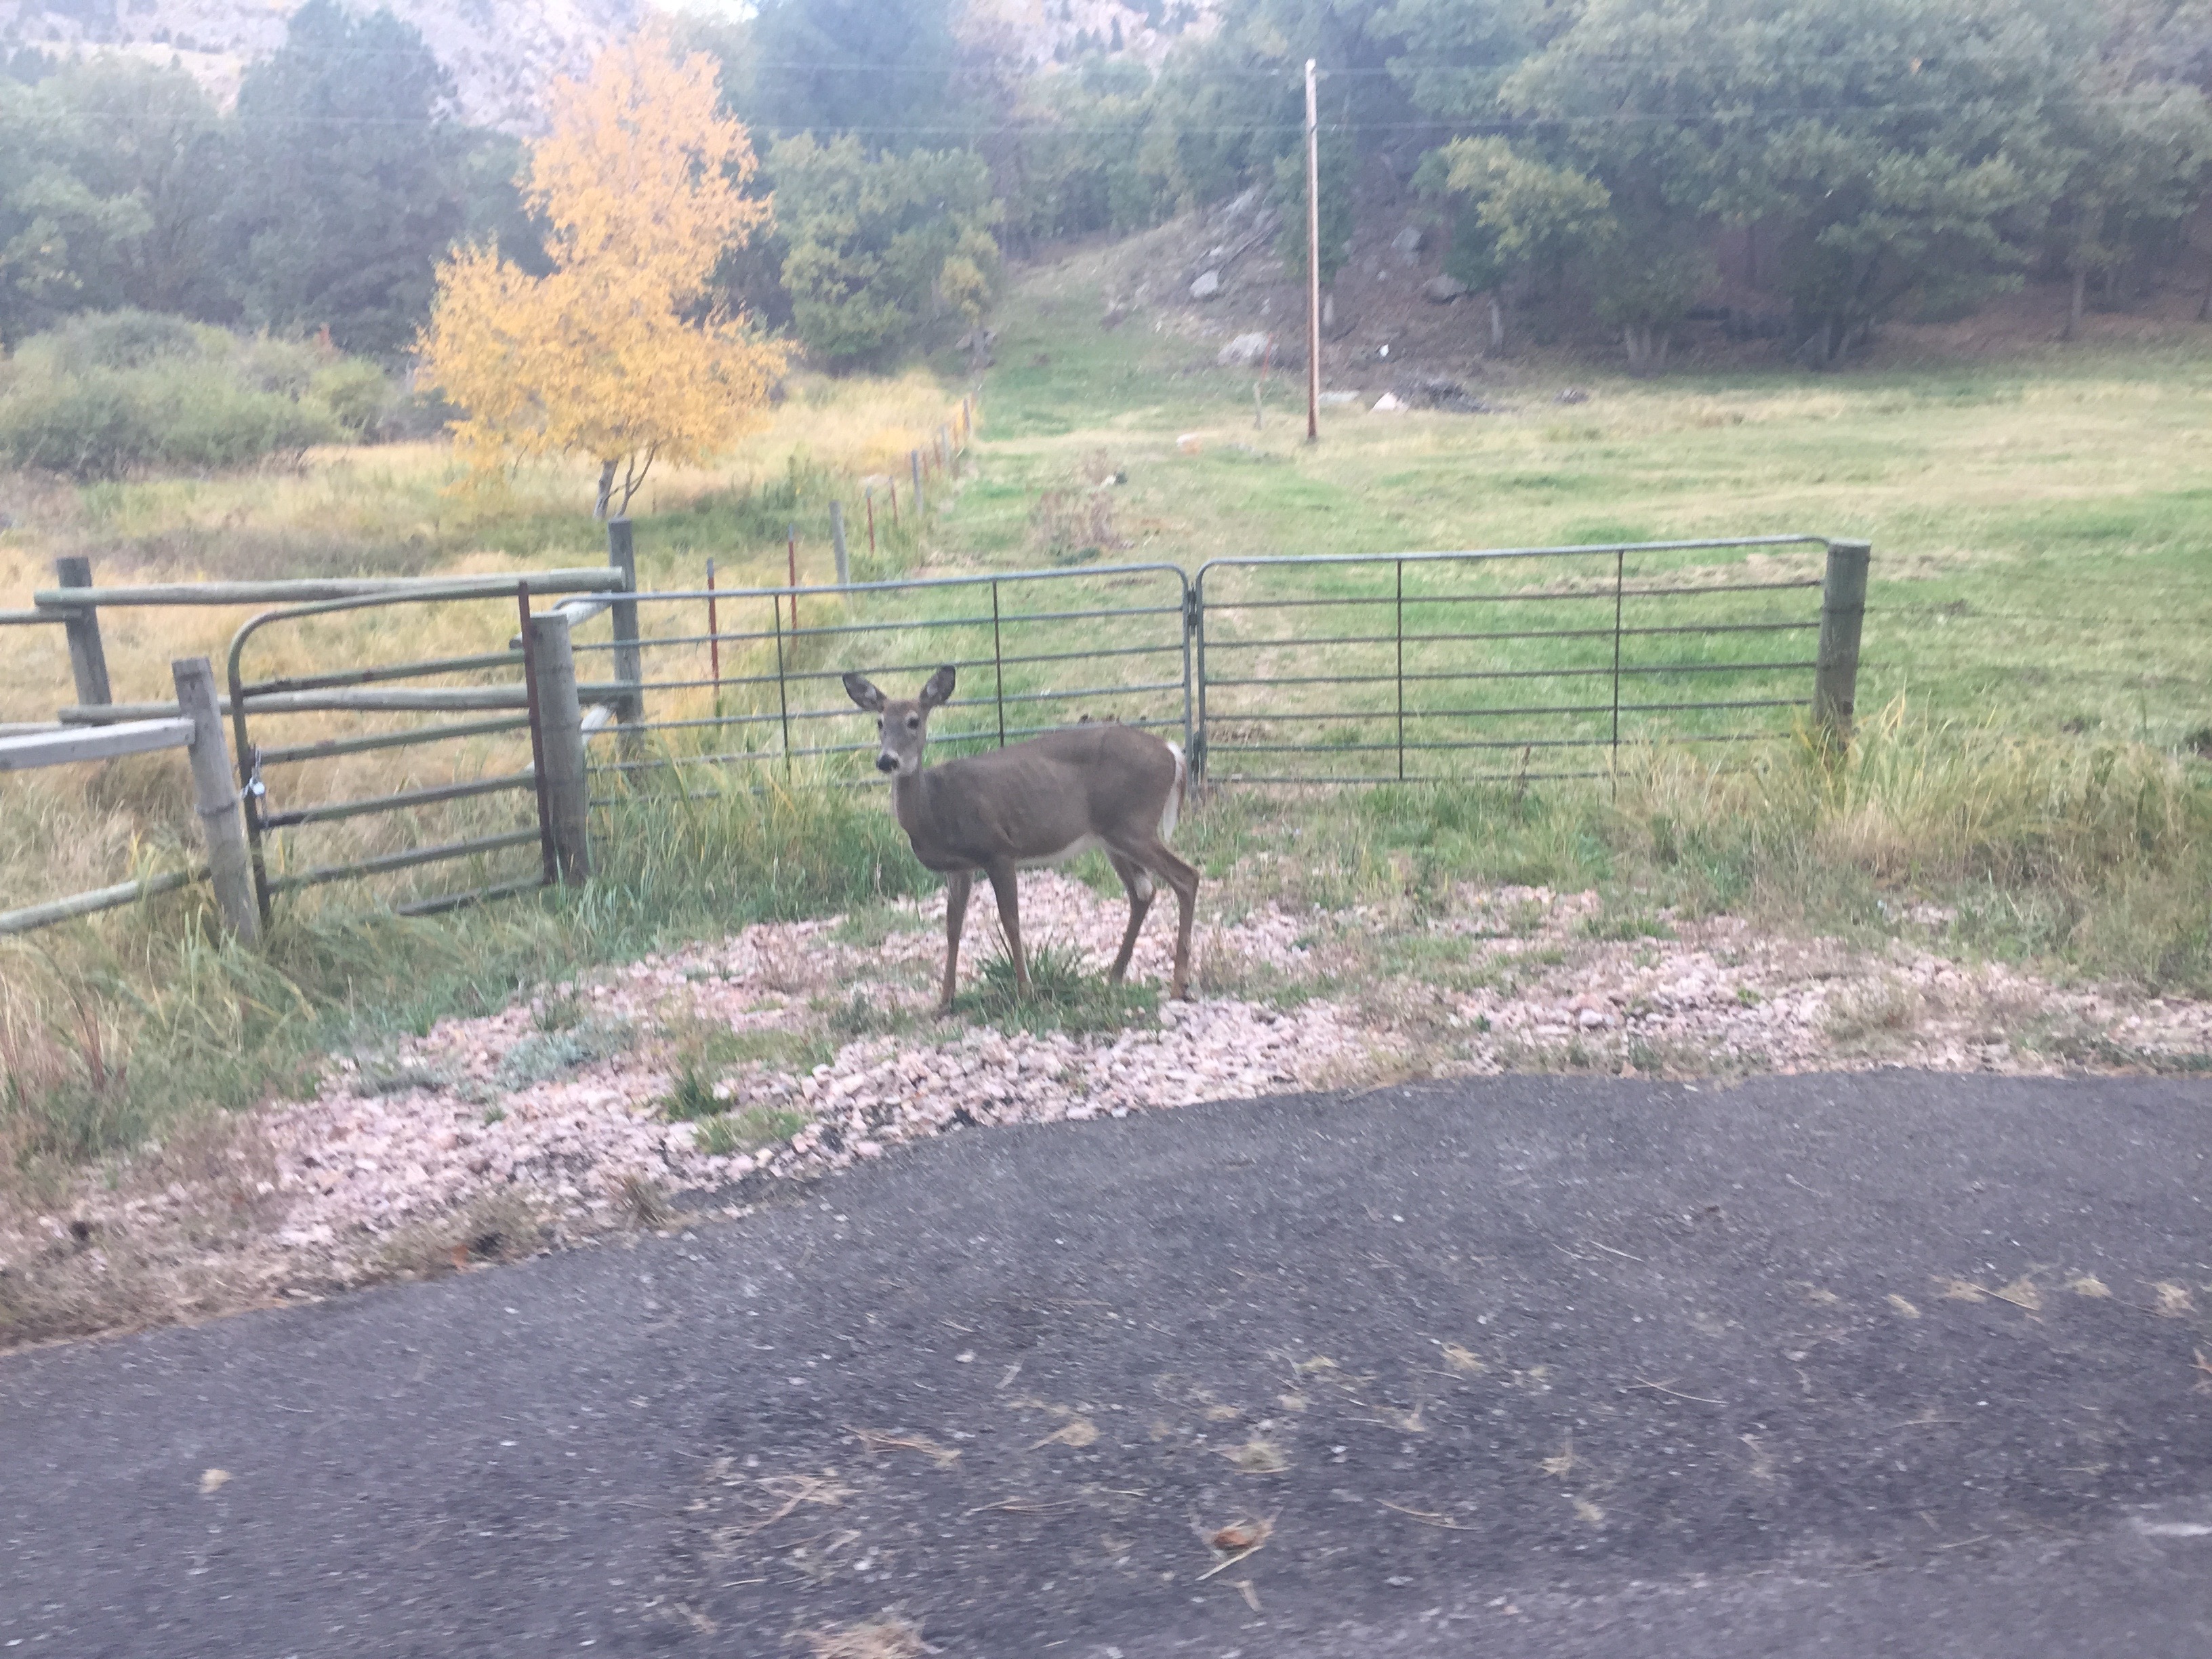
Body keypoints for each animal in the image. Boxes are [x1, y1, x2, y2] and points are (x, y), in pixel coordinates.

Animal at [843, 665, 1199, 1014]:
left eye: (914, 720)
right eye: (879, 722)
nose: (887, 760)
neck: (936, 806)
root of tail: (1172, 752)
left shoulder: (998, 850)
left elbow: (1010, 920)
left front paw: (1026, 992)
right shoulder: (959, 868)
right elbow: (952, 926)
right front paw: (944, 1001)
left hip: (1133, 825)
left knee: (1187, 877)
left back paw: (1178, 984)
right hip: (1112, 837)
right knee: (1143, 892)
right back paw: (1114, 977)